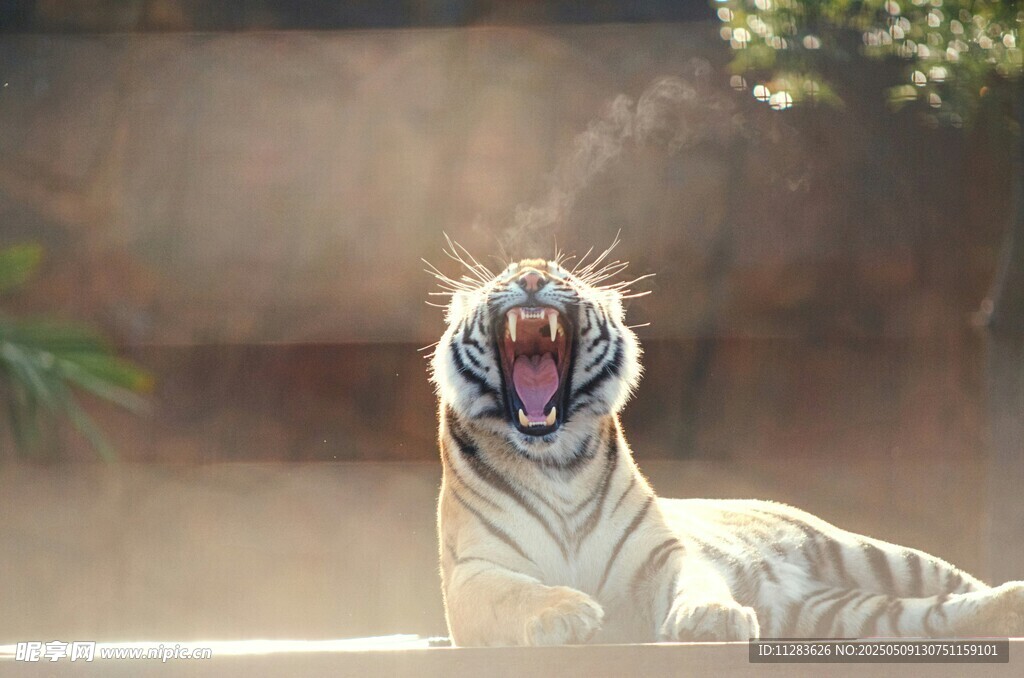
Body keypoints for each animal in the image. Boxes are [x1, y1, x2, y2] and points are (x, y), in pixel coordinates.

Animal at [429, 248, 1024, 646]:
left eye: (564, 276)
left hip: (871, 552)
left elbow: (696, 578)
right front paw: (562, 613)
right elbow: (515, 592)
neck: (556, 462)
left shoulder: (659, 553)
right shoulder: (473, 571)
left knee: (956, 584)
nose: (531, 277)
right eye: (503, 279)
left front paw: (713, 618)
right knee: (932, 615)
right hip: (844, 613)